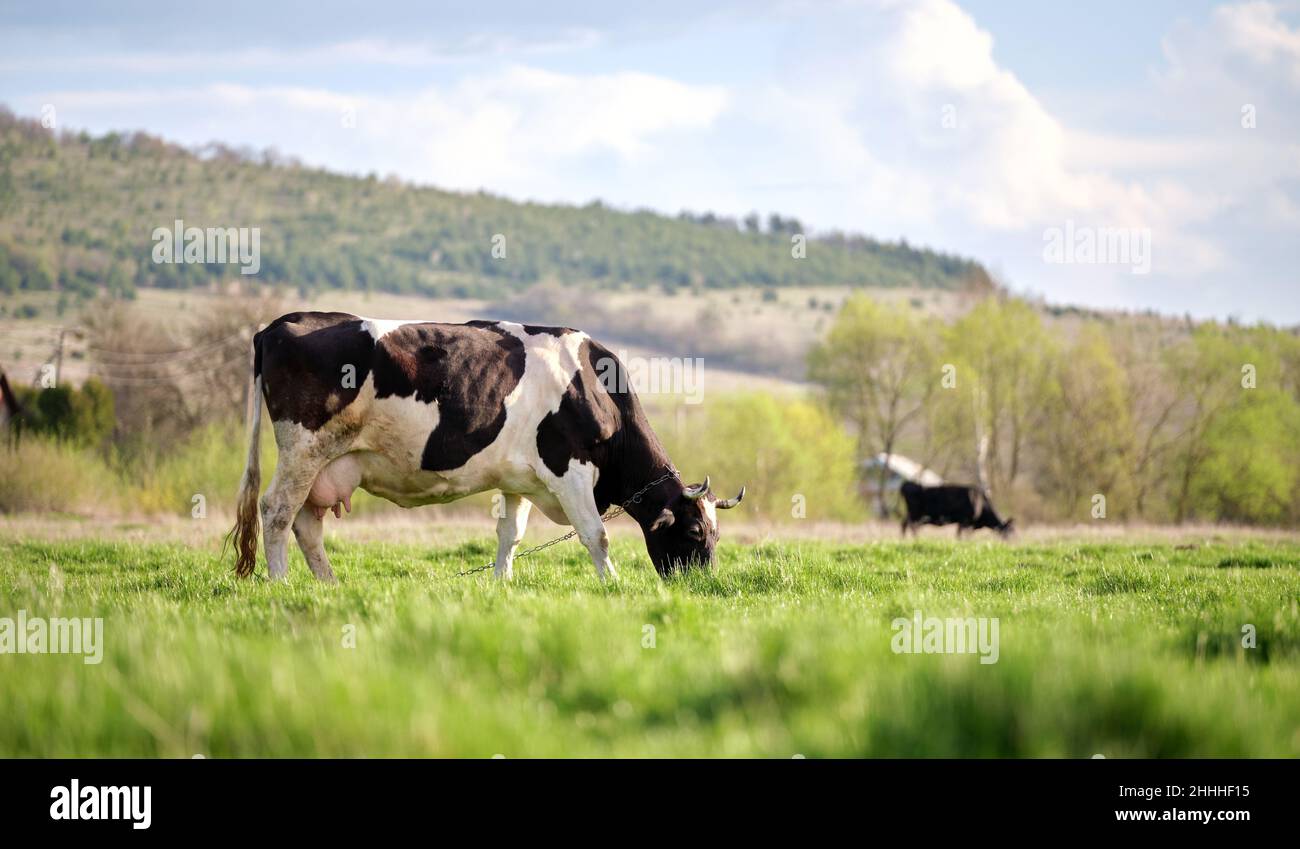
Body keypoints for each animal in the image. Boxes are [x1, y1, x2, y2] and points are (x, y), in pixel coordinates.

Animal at [231, 312, 745, 582]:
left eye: (718, 535)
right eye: (695, 531)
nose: (703, 584)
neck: (592, 385)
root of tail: (281, 323)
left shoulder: (519, 480)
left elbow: (509, 535)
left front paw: (501, 584)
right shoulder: (570, 469)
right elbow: (595, 534)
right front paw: (613, 584)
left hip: (328, 464)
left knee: (306, 523)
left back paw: (328, 585)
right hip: (304, 449)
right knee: (276, 511)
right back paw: (282, 584)